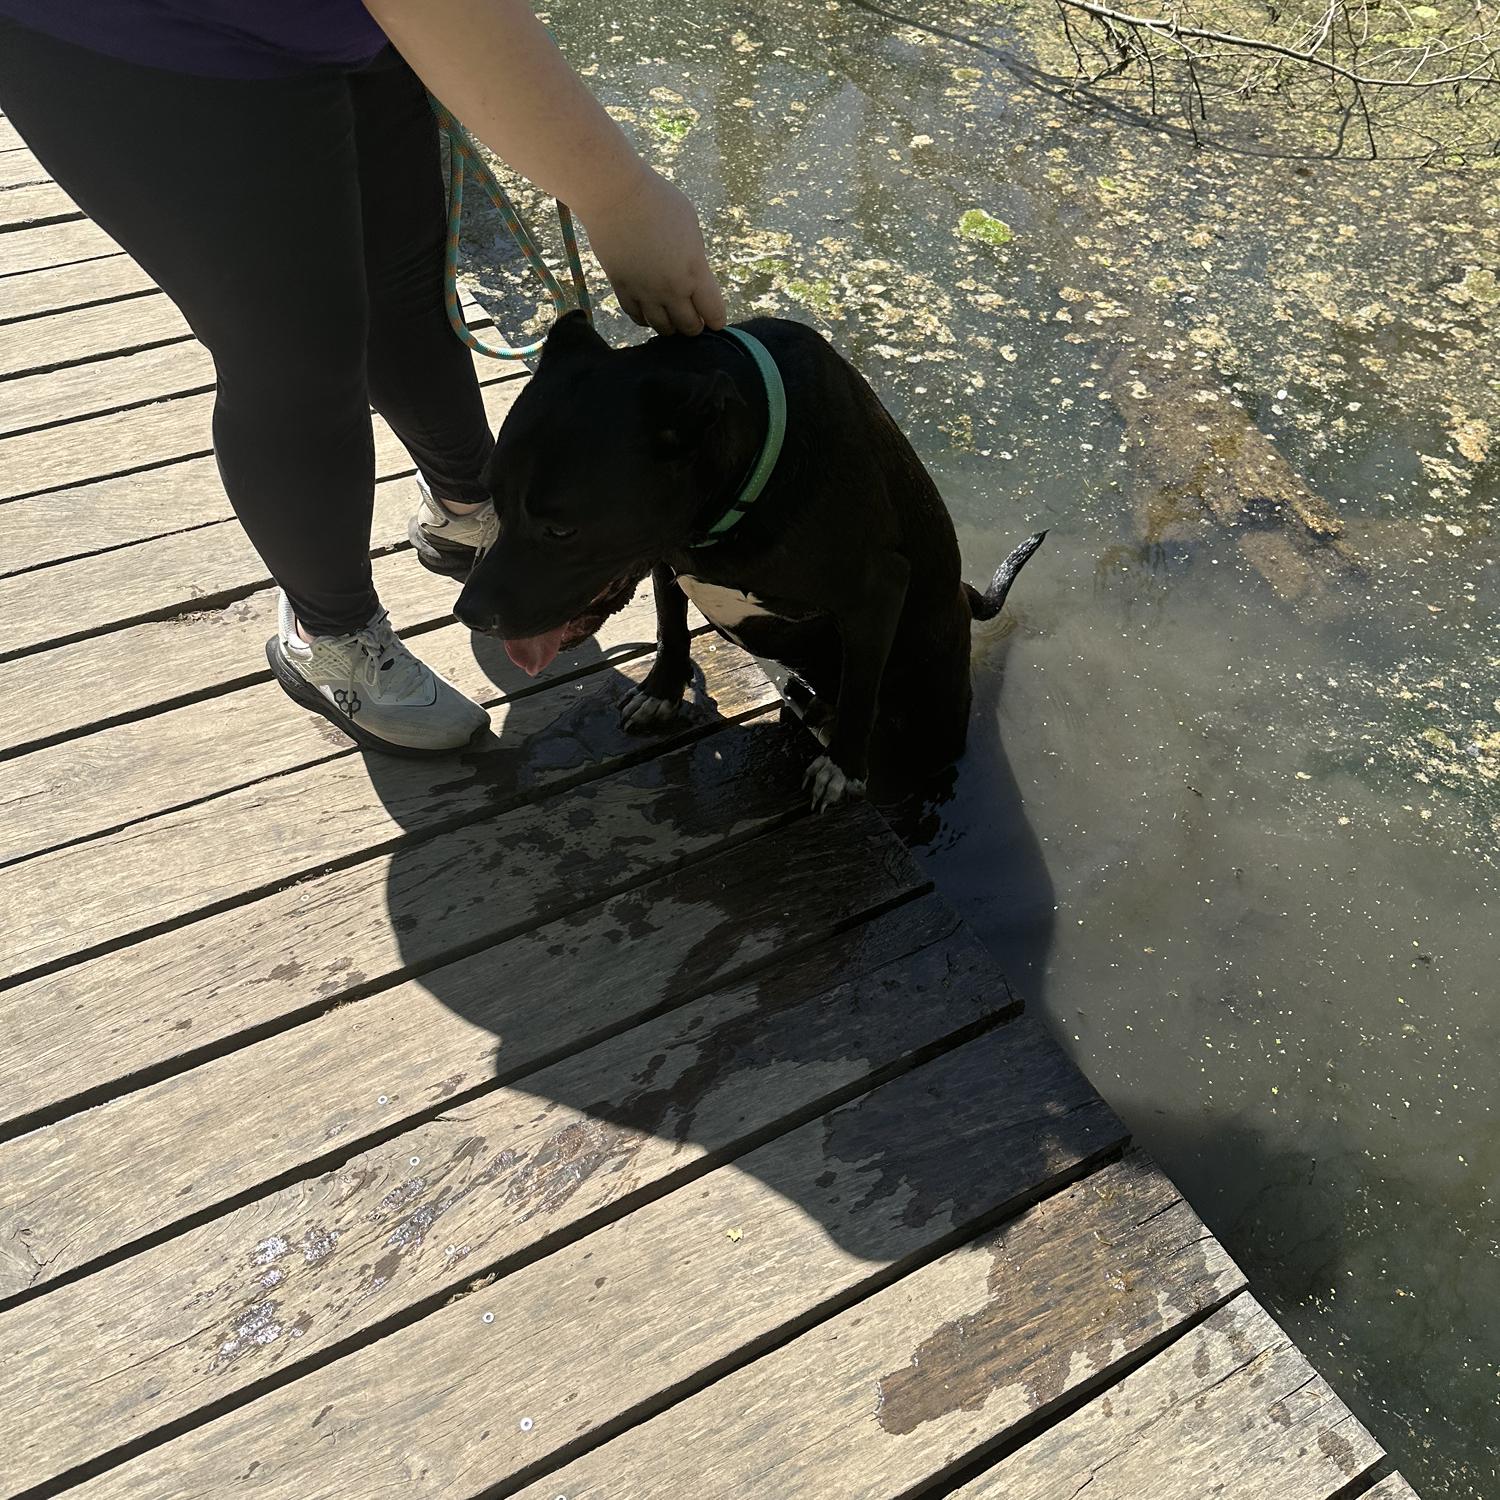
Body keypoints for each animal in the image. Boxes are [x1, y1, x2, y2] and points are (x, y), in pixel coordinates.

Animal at [456, 313, 1044, 810]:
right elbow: (672, 629)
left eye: (561, 530)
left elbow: (860, 690)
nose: (468, 613)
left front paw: (844, 768)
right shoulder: (667, 561)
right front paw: (661, 692)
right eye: (490, 494)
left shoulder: (876, 591)